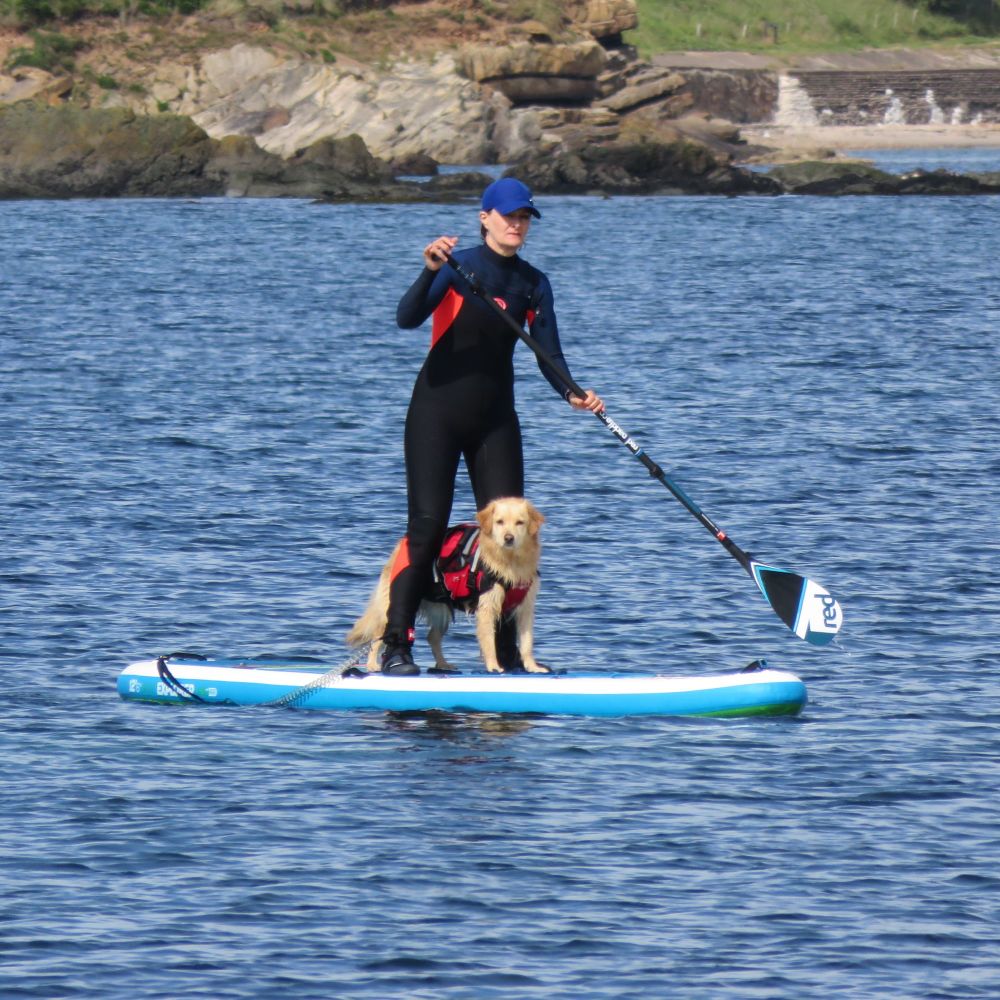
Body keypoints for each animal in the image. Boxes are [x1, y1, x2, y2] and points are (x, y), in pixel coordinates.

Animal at [346, 498, 548, 676]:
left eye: (520, 523)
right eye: (499, 522)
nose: (508, 538)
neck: (511, 561)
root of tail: (399, 548)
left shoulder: (525, 608)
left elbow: (527, 641)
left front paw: (532, 666)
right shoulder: (487, 607)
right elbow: (489, 641)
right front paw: (493, 666)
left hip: (440, 608)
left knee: (432, 637)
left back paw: (443, 664)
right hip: (392, 607)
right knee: (378, 636)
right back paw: (373, 665)